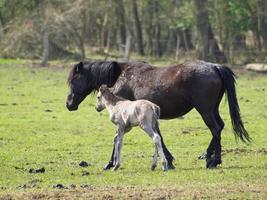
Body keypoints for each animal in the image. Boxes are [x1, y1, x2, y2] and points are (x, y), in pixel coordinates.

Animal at [66, 60, 251, 170]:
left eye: (74, 80)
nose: (69, 104)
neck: (120, 77)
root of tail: (214, 67)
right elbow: (159, 137)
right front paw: (168, 160)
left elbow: (118, 139)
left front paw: (110, 163)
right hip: (212, 109)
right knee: (219, 127)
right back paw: (207, 156)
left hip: (205, 110)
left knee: (215, 129)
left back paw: (213, 161)